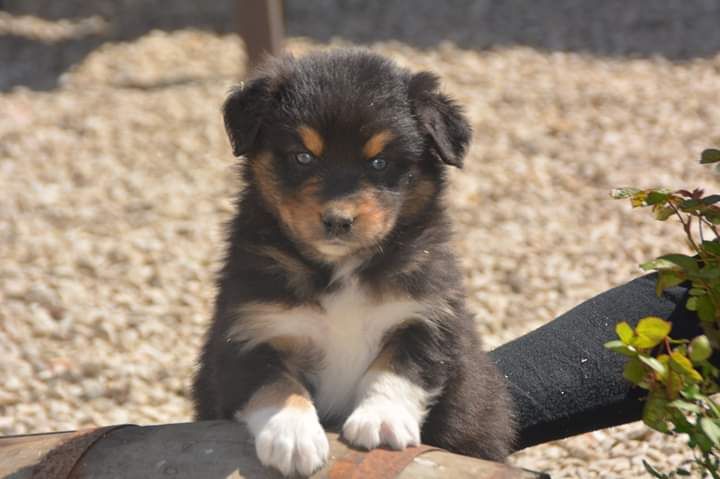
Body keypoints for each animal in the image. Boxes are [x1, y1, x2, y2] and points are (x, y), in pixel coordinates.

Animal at [192, 49, 514, 476]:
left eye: (379, 162)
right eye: (303, 156)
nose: (338, 220)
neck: (340, 269)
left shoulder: (428, 317)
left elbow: (399, 368)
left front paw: (381, 420)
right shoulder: (246, 333)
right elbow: (276, 384)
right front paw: (293, 437)